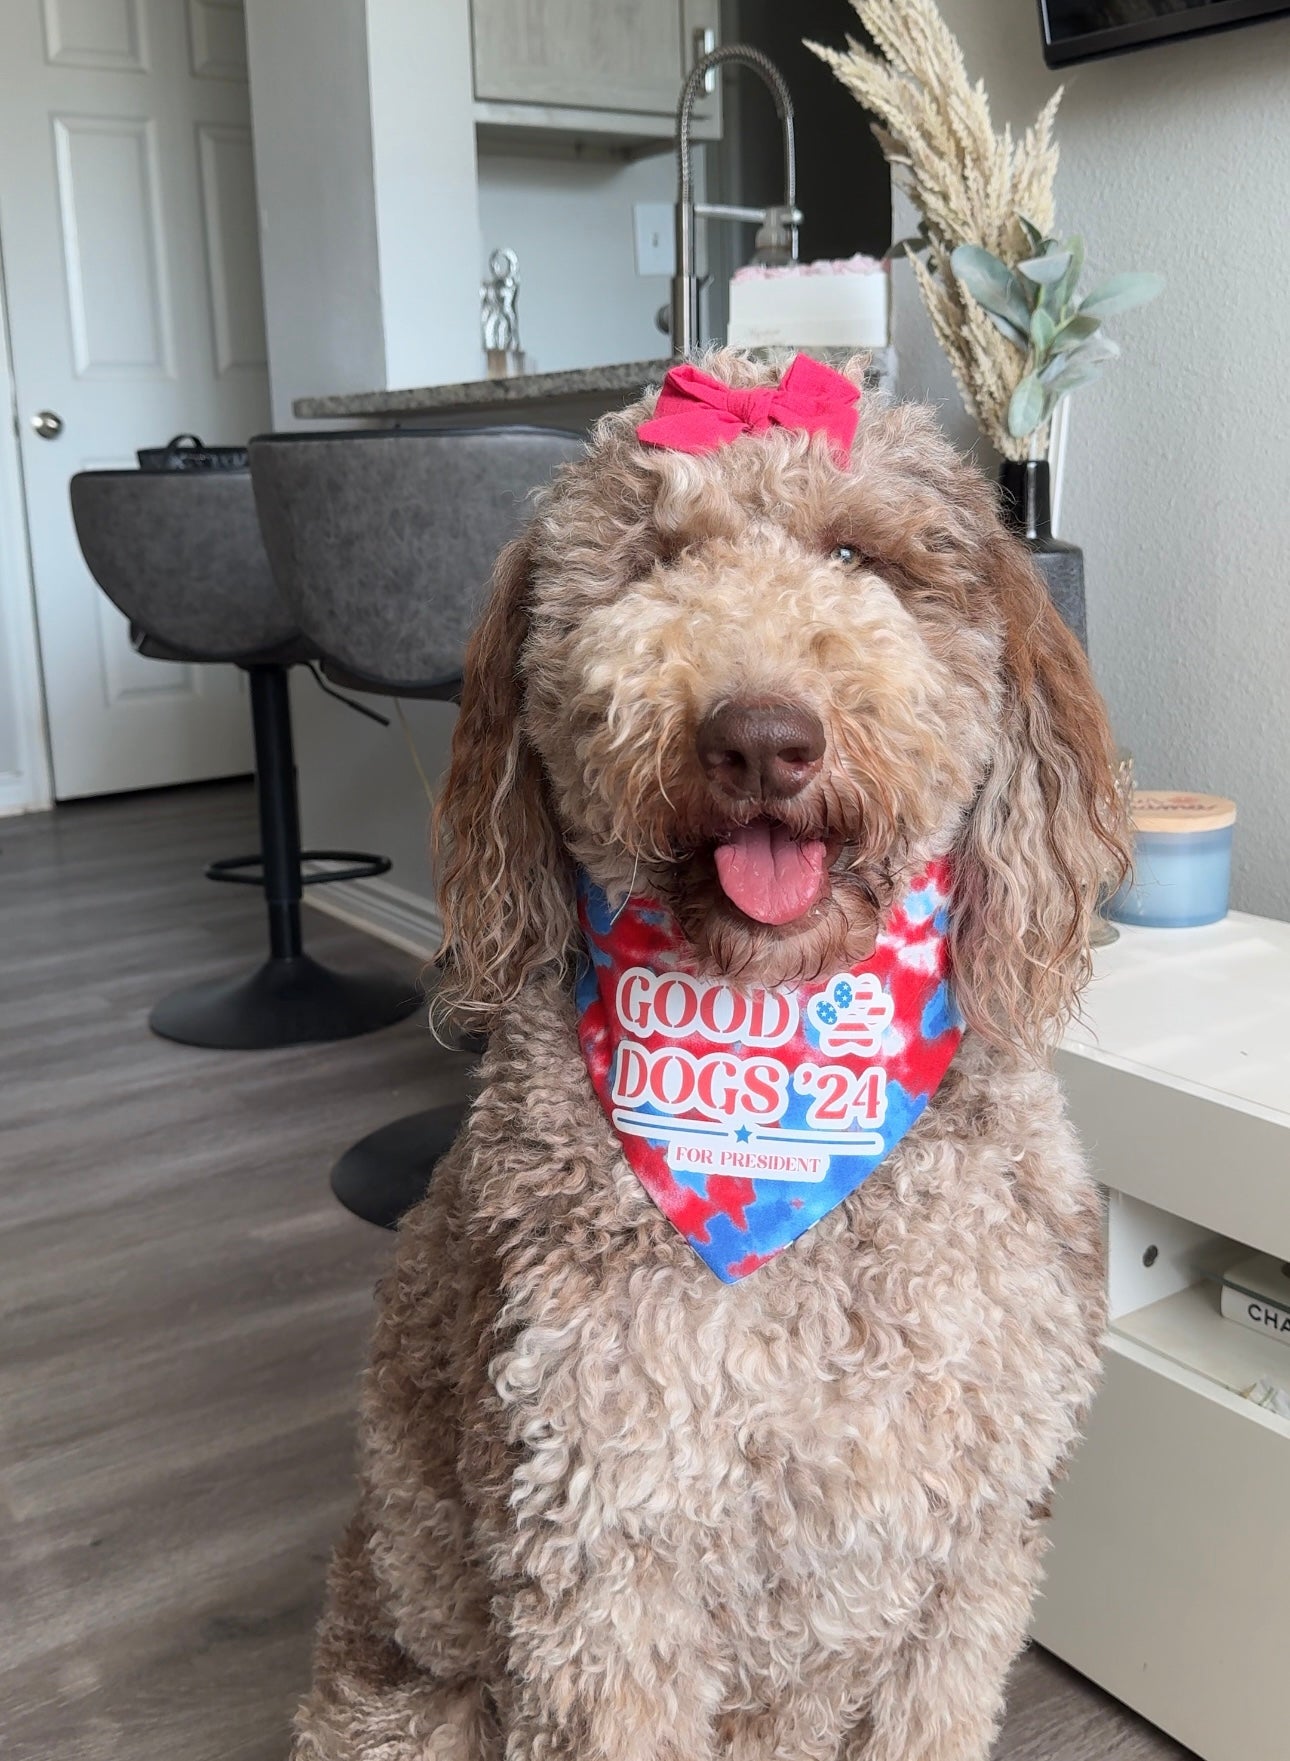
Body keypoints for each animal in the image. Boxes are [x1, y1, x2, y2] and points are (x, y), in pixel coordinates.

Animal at [297, 353, 1119, 1761]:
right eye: (654, 563)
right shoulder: (602, 1566)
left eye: (856, 554)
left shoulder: (971, 1558)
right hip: (417, 1700)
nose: (761, 738)